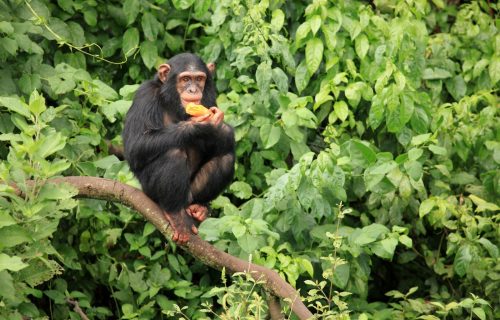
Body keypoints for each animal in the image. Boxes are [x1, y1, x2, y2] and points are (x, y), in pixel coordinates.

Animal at [123, 52, 236, 244]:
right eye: (185, 79)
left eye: (199, 79)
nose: (193, 90)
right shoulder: (145, 95)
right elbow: (135, 145)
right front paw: (199, 126)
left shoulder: (209, 98)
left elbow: (224, 141)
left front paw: (219, 126)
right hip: (150, 191)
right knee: (173, 155)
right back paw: (175, 215)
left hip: (190, 194)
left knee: (226, 159)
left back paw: (199, 207)